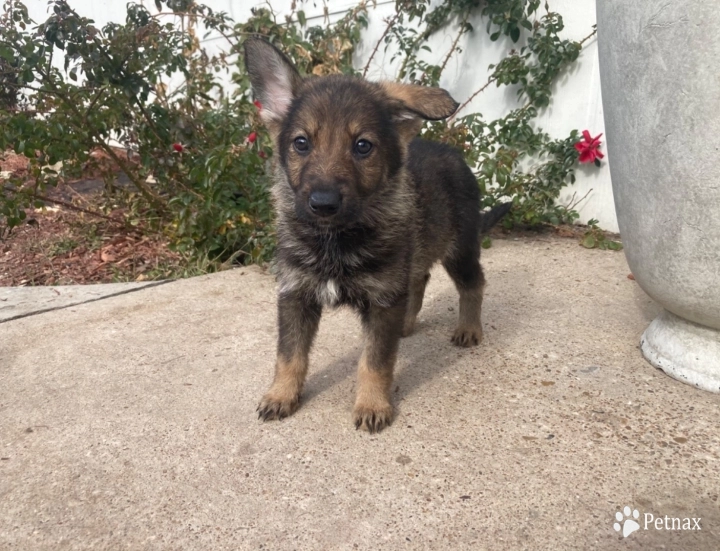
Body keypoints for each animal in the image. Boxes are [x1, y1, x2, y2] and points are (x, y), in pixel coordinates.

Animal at [245, 40, 510, 436]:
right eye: (301, 143)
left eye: (362, 146)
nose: (322, 204)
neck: (335, 241)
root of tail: (450, 150)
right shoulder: (295, 294)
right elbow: (289, 354)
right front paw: (281, 395)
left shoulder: (382, 299)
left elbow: (375, 361)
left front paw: (372, 404)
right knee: (419, 279)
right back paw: (408, 324)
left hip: (460, 247)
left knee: (473, 283)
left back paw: (468, 327)